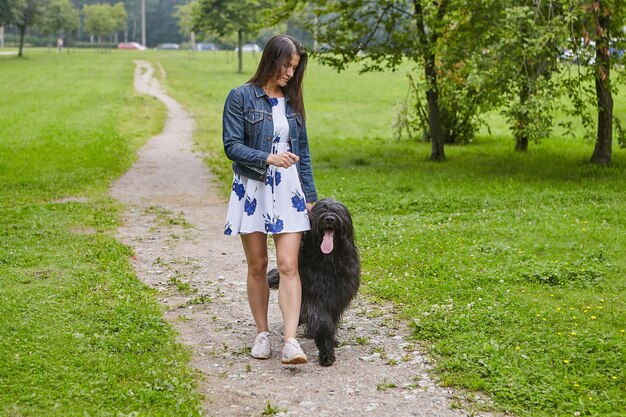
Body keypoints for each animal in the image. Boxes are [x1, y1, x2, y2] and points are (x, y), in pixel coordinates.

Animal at [266, 198, 358, 364]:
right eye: (322, 210)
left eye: (337, 211)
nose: (330, 219)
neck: (327, 261)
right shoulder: (311, 297)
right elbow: (321, 323)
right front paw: (326, 350)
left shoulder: (338, 298)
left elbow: (331, 320)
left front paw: (331, 342)